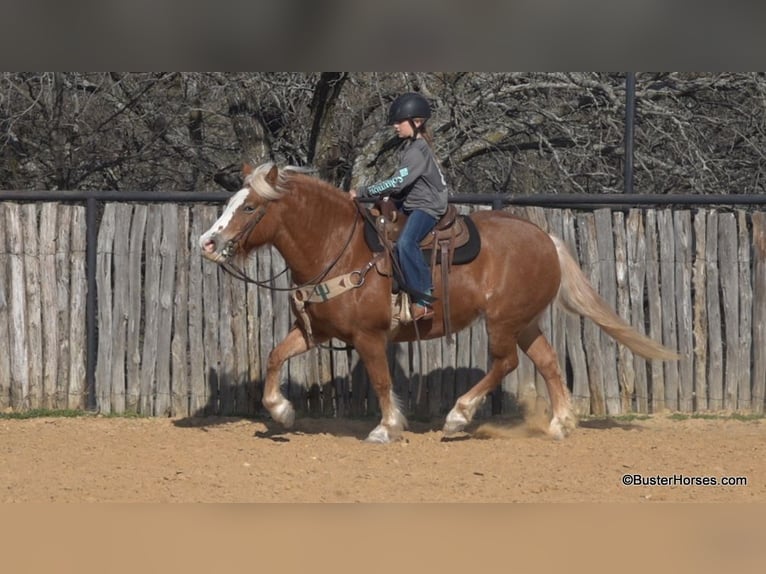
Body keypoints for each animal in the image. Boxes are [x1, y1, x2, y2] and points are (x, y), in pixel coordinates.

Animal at [201, 162, 680, 446]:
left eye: (250, 207)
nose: (207, 242)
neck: (339, 246)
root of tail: (546, 238)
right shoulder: (315, 332)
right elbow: (274, 356)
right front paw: (282, 412)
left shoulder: (369, 336)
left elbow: (381, 381)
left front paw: (386, 427)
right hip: (524, 321)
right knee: (545, 362)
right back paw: (560, 424)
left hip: (502, 321)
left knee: (505, 363)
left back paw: (458, 416)